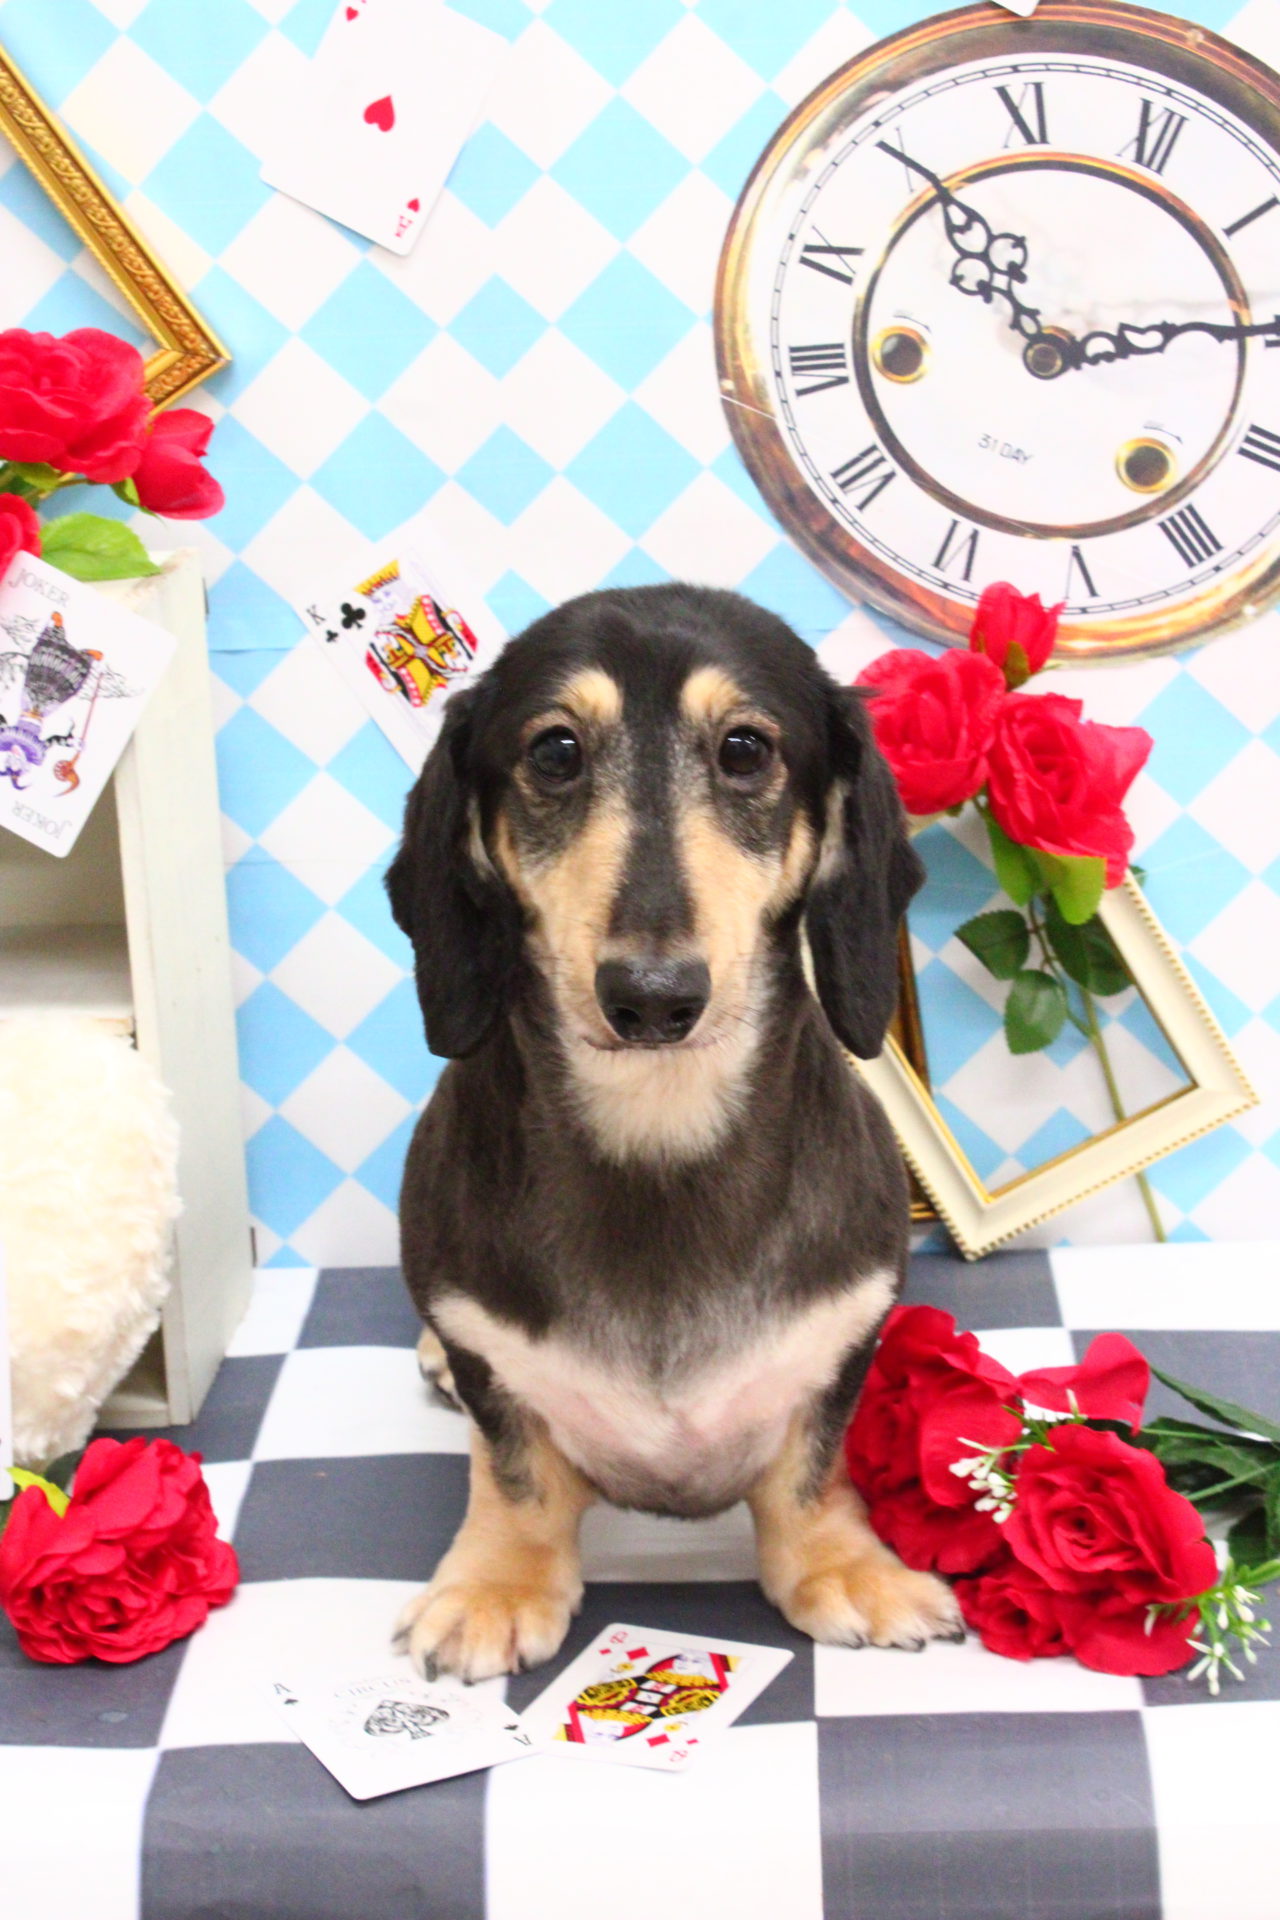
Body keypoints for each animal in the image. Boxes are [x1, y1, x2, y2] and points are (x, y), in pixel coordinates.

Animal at [385, 583, 962, 1680]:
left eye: (744, 748)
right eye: (555, 752)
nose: (651, 996)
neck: (660, 1131)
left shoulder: (841, 1347)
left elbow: (811, 1464)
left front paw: (841, 1564)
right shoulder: (490, 1361)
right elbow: (514, 1470)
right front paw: (498, 1583)